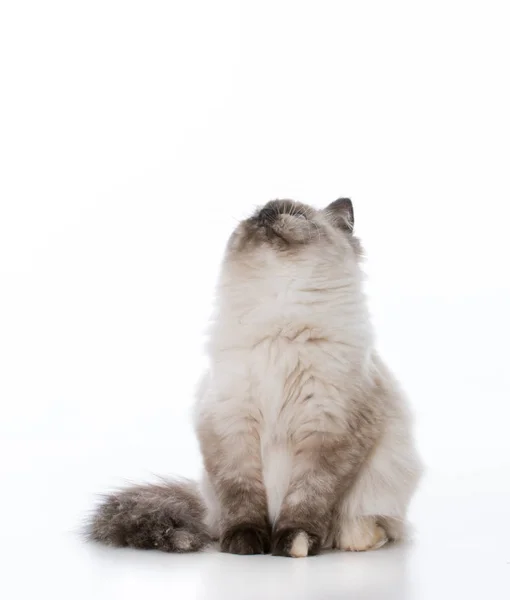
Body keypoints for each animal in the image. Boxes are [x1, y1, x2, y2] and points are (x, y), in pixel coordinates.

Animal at [87, 198, 422, 556]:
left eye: (297, 215)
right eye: (256, 214)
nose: (268, 213)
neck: (279, 327)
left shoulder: (328, 428)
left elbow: (307, 499)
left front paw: (293, 544)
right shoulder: (231, 426)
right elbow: (242, 498)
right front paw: (244, 544)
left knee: (369, 523)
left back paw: (358, 538)